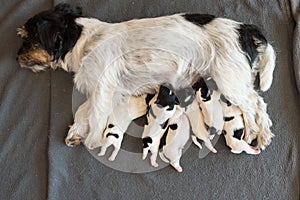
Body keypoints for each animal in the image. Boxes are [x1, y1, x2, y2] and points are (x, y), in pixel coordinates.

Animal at [15, 3, 276, 150]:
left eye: (29, 39)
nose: (16, 57)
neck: (84, 40)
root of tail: (244, 30)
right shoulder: (111, 91)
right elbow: (82, 110)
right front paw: (76, 132)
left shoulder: (103, 89)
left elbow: (96, 114)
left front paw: (92, 140)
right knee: (254, 105)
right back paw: (258, 133)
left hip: (229, 78)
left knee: (255, 103)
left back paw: (258, 133)